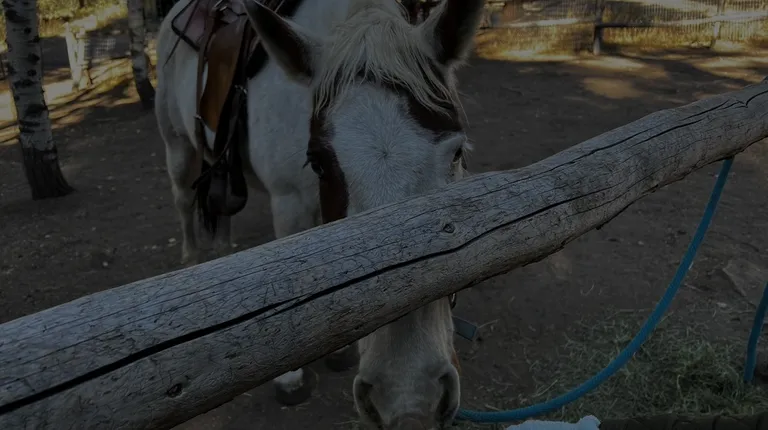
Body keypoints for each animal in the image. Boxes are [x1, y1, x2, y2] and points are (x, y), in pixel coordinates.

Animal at [154, 0, 485, 426]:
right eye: (319, 164)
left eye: (457, 152)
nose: (410, 399)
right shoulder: (289, 201)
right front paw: (291, 378)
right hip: (178, 147)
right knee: (183, 201)